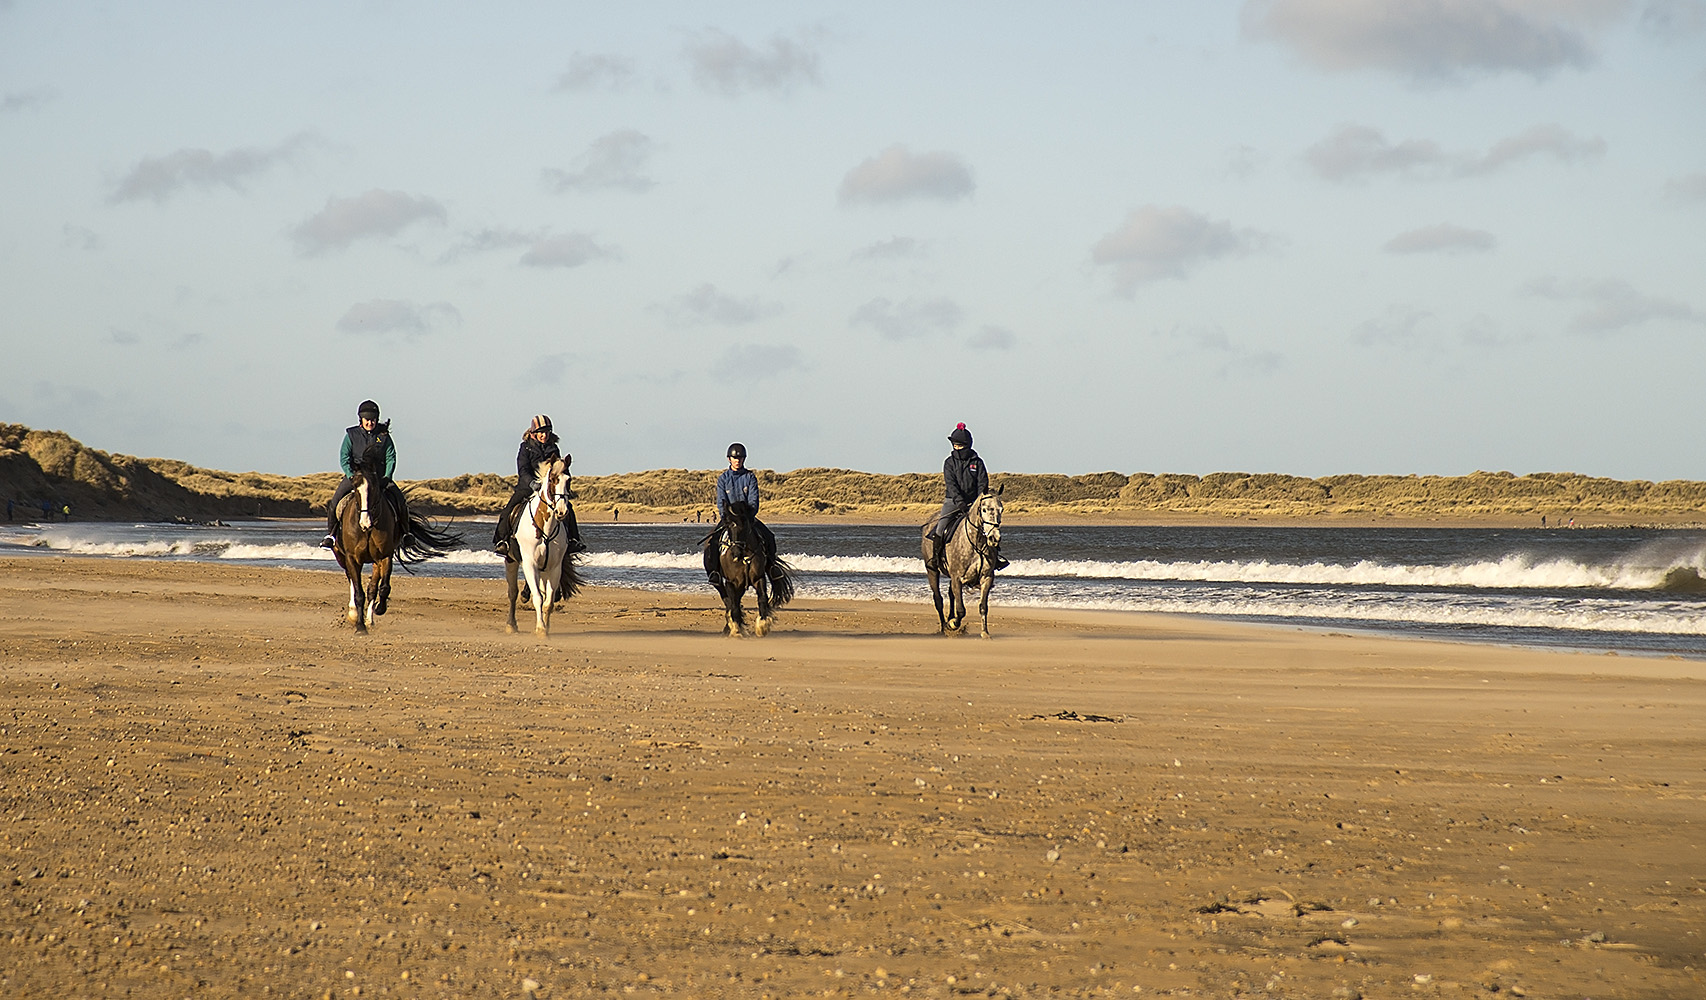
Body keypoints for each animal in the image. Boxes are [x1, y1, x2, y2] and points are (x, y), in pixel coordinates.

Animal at [327, 436, 457, 631]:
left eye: (374, 487)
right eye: (355, 487)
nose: (365, 523)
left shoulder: (384, 556)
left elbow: (382, 588)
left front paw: (378, 610)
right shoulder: (351, 557)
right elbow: (358, 592)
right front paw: (359, 626)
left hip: (374, 561)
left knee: (372, 587)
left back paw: (370, 619)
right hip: (341, 556)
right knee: (351, 580)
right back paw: (353, 614)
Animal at [501, 457, 583, 634]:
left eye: (569, 480)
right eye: (552, 480)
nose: (561, 511)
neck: (545, 527)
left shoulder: (555, 567)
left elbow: (548, 602)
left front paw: (545, 628)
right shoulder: (530, 564)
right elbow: (538, 598)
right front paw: (540, 629)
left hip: (544, 570)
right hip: (511, 561)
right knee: (513, 593)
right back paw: (511, 625)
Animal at [699, 501, 791, 634]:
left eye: (744, 525)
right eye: (729, 526)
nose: (735, 552)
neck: (744, 556)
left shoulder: (758, 578)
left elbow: (762, 598)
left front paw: (762, 624)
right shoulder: (731, 582)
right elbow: (733, 604)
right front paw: (736, 628)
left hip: (742, 584)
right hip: (719, 581)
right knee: (728, 600)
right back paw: (730, 625)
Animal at [928, 491, 1003, 638]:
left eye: (1001, 510)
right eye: (984, 509)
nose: (994, 538)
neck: (976, 543)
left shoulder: (987, 578)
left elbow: (983, 607)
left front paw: (985, 633)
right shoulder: (957, 578)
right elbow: (961, 610)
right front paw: (952, 624)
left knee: (951, 595)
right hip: (932, 571)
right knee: (938, 599)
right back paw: (943, 628)